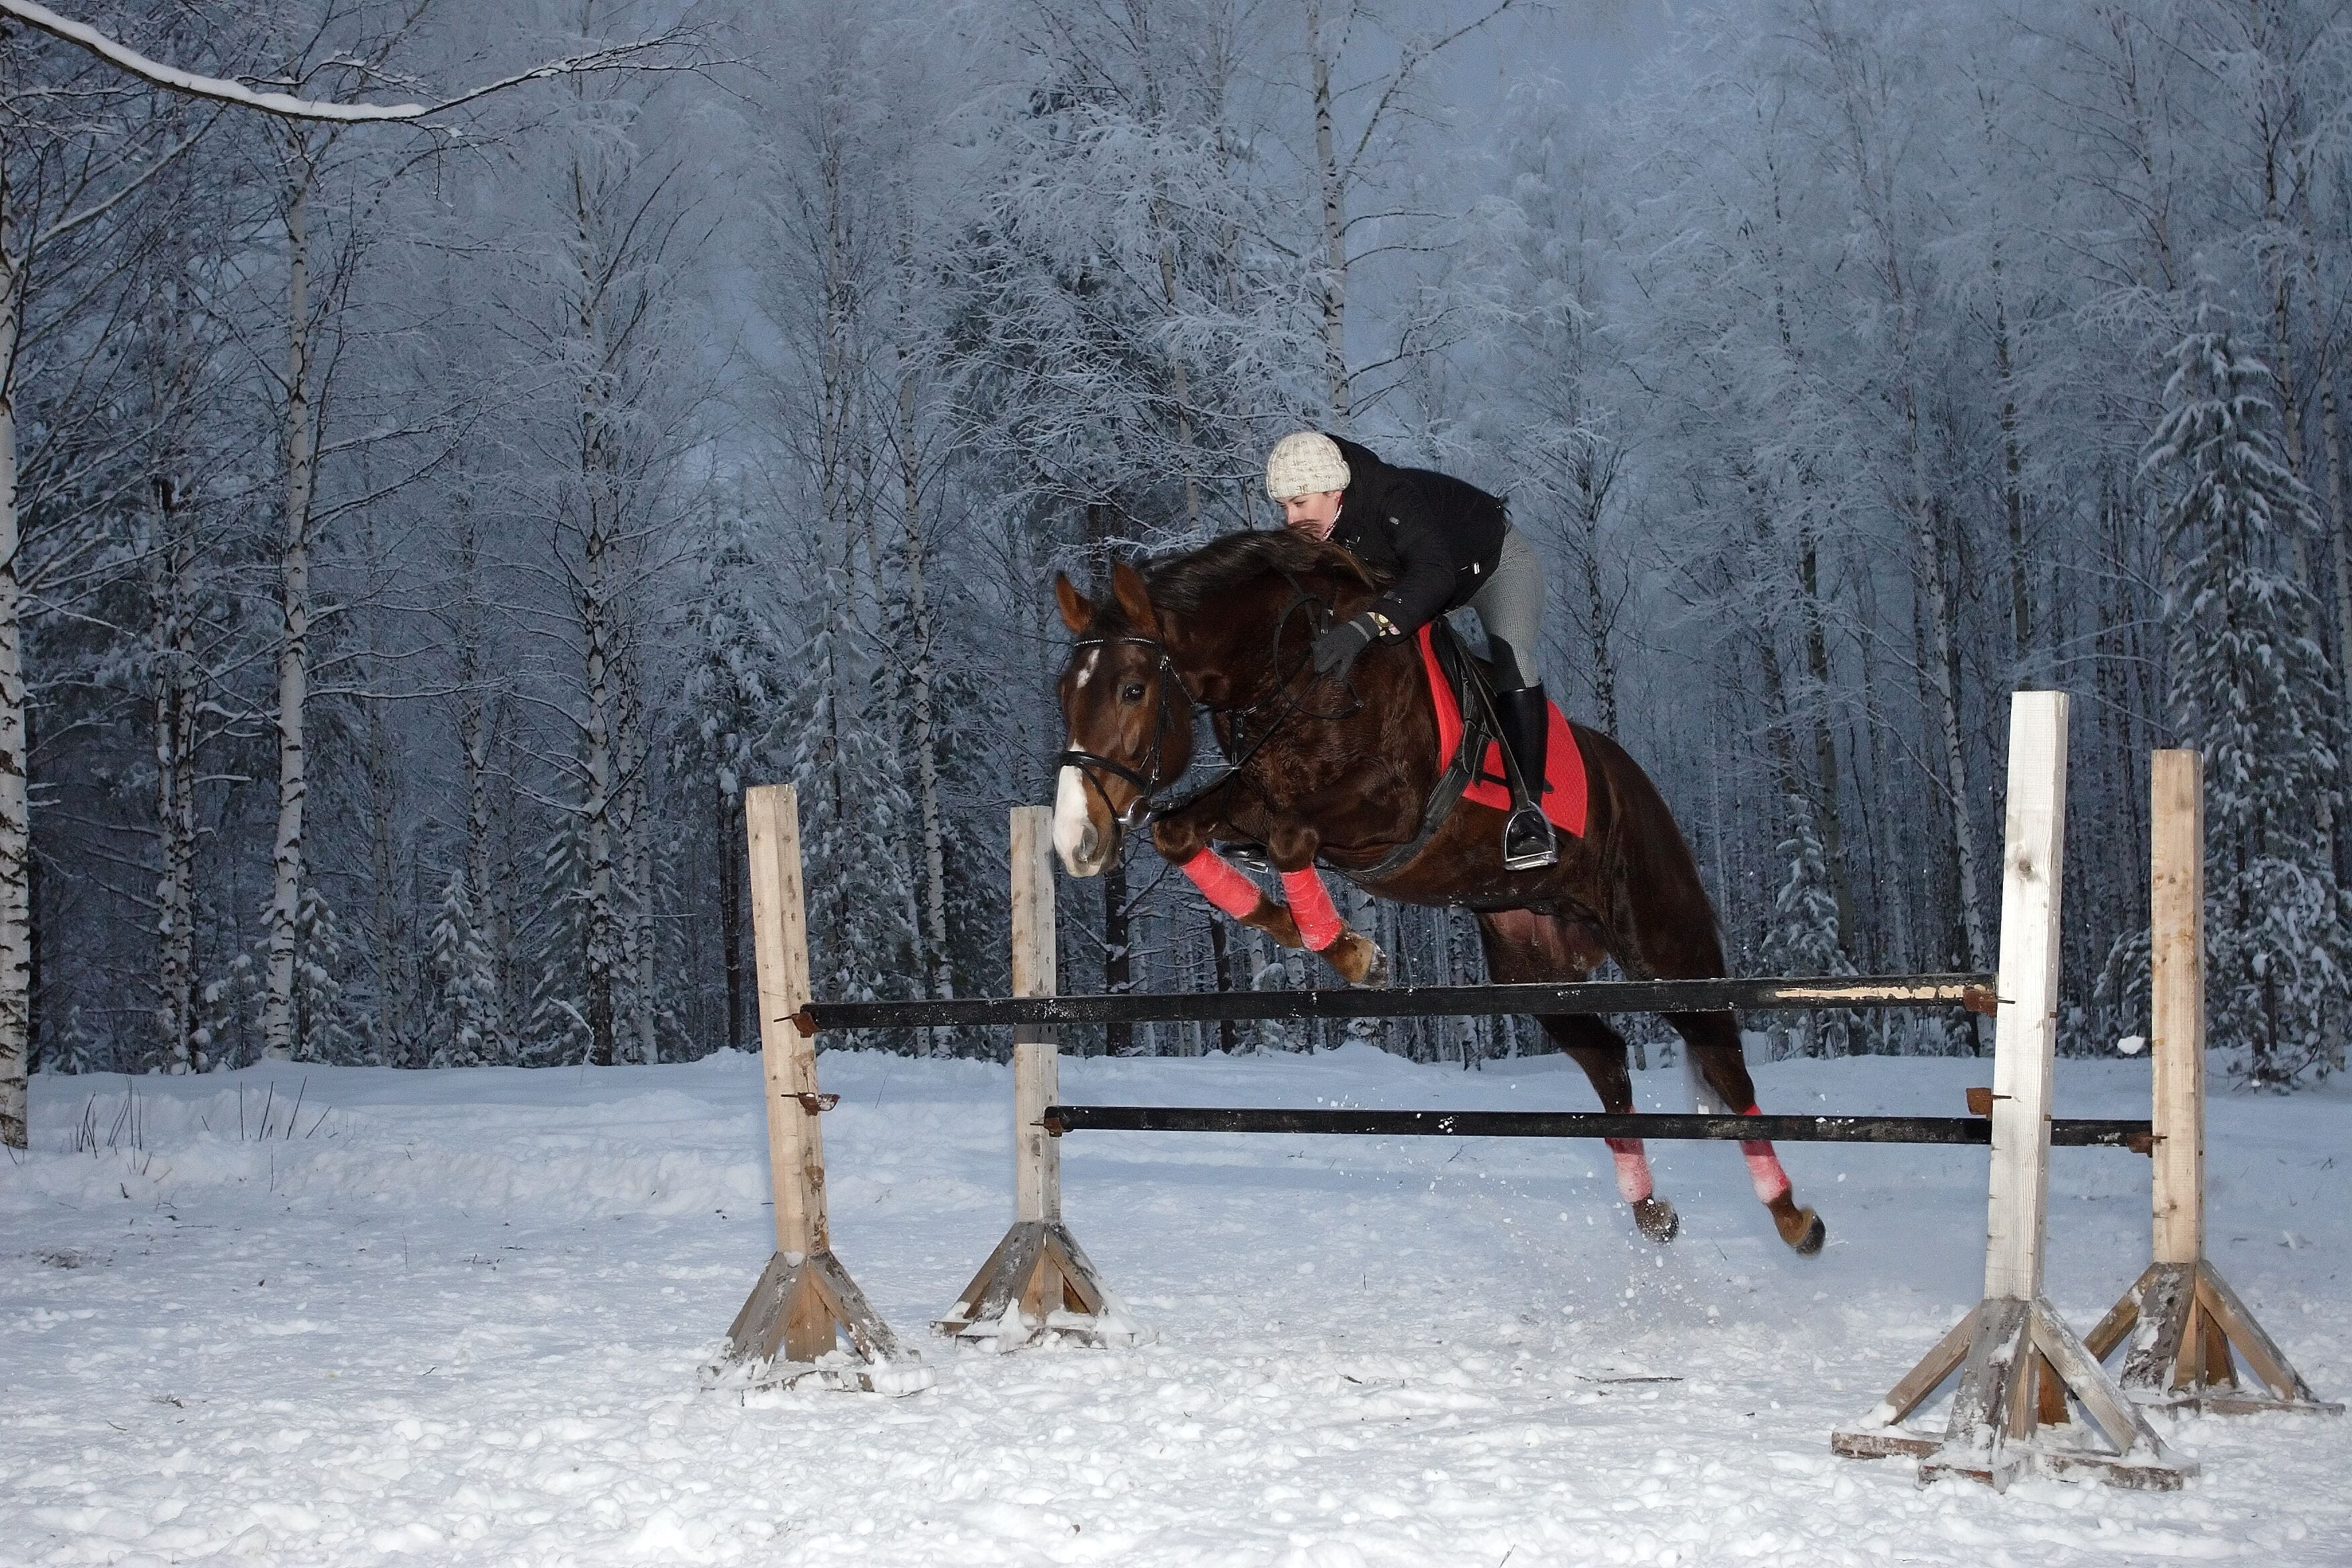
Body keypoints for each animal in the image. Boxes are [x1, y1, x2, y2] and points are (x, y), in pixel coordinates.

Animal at [1050, 530, 1825, 1255]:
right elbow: (1181, 834)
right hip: (1530, 963)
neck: (1297, 663)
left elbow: (1293, 838)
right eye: (1064, 693)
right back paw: (1650, 1207)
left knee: (1721, 1055)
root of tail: (1636, 783)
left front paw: (1353, 954)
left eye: (1133, 689)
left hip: (1663, 940)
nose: (1075, 841)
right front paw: (1325, 940)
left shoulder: (1387, 807)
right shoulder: (1254, 797)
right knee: (1606, 1056)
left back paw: (1793, 1216)